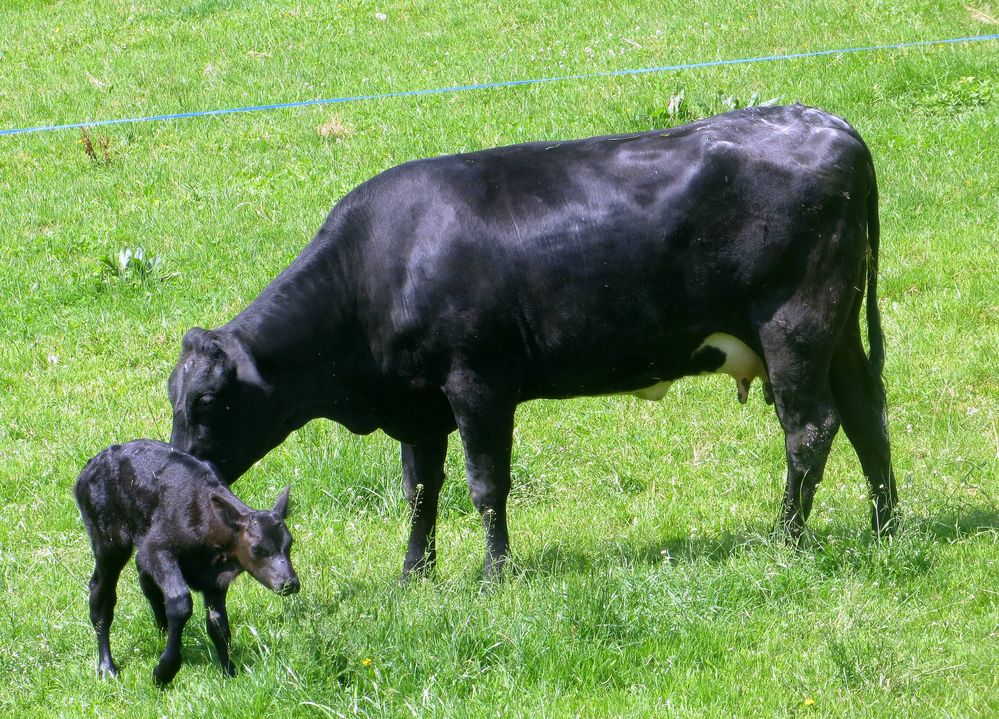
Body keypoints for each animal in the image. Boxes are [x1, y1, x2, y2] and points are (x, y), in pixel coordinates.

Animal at [170, 105, 900, 580]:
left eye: (208, 403)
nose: (182, 469)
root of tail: (829, 125)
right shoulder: (419, 404)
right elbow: (420, 489)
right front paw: (413, 573)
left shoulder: (477, 383)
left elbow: (485, 483)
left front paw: (494, 573)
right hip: (837, 334)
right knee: (867, 416)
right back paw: (885, 526)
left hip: (795, 327)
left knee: (810, 427)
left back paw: (787, 538)